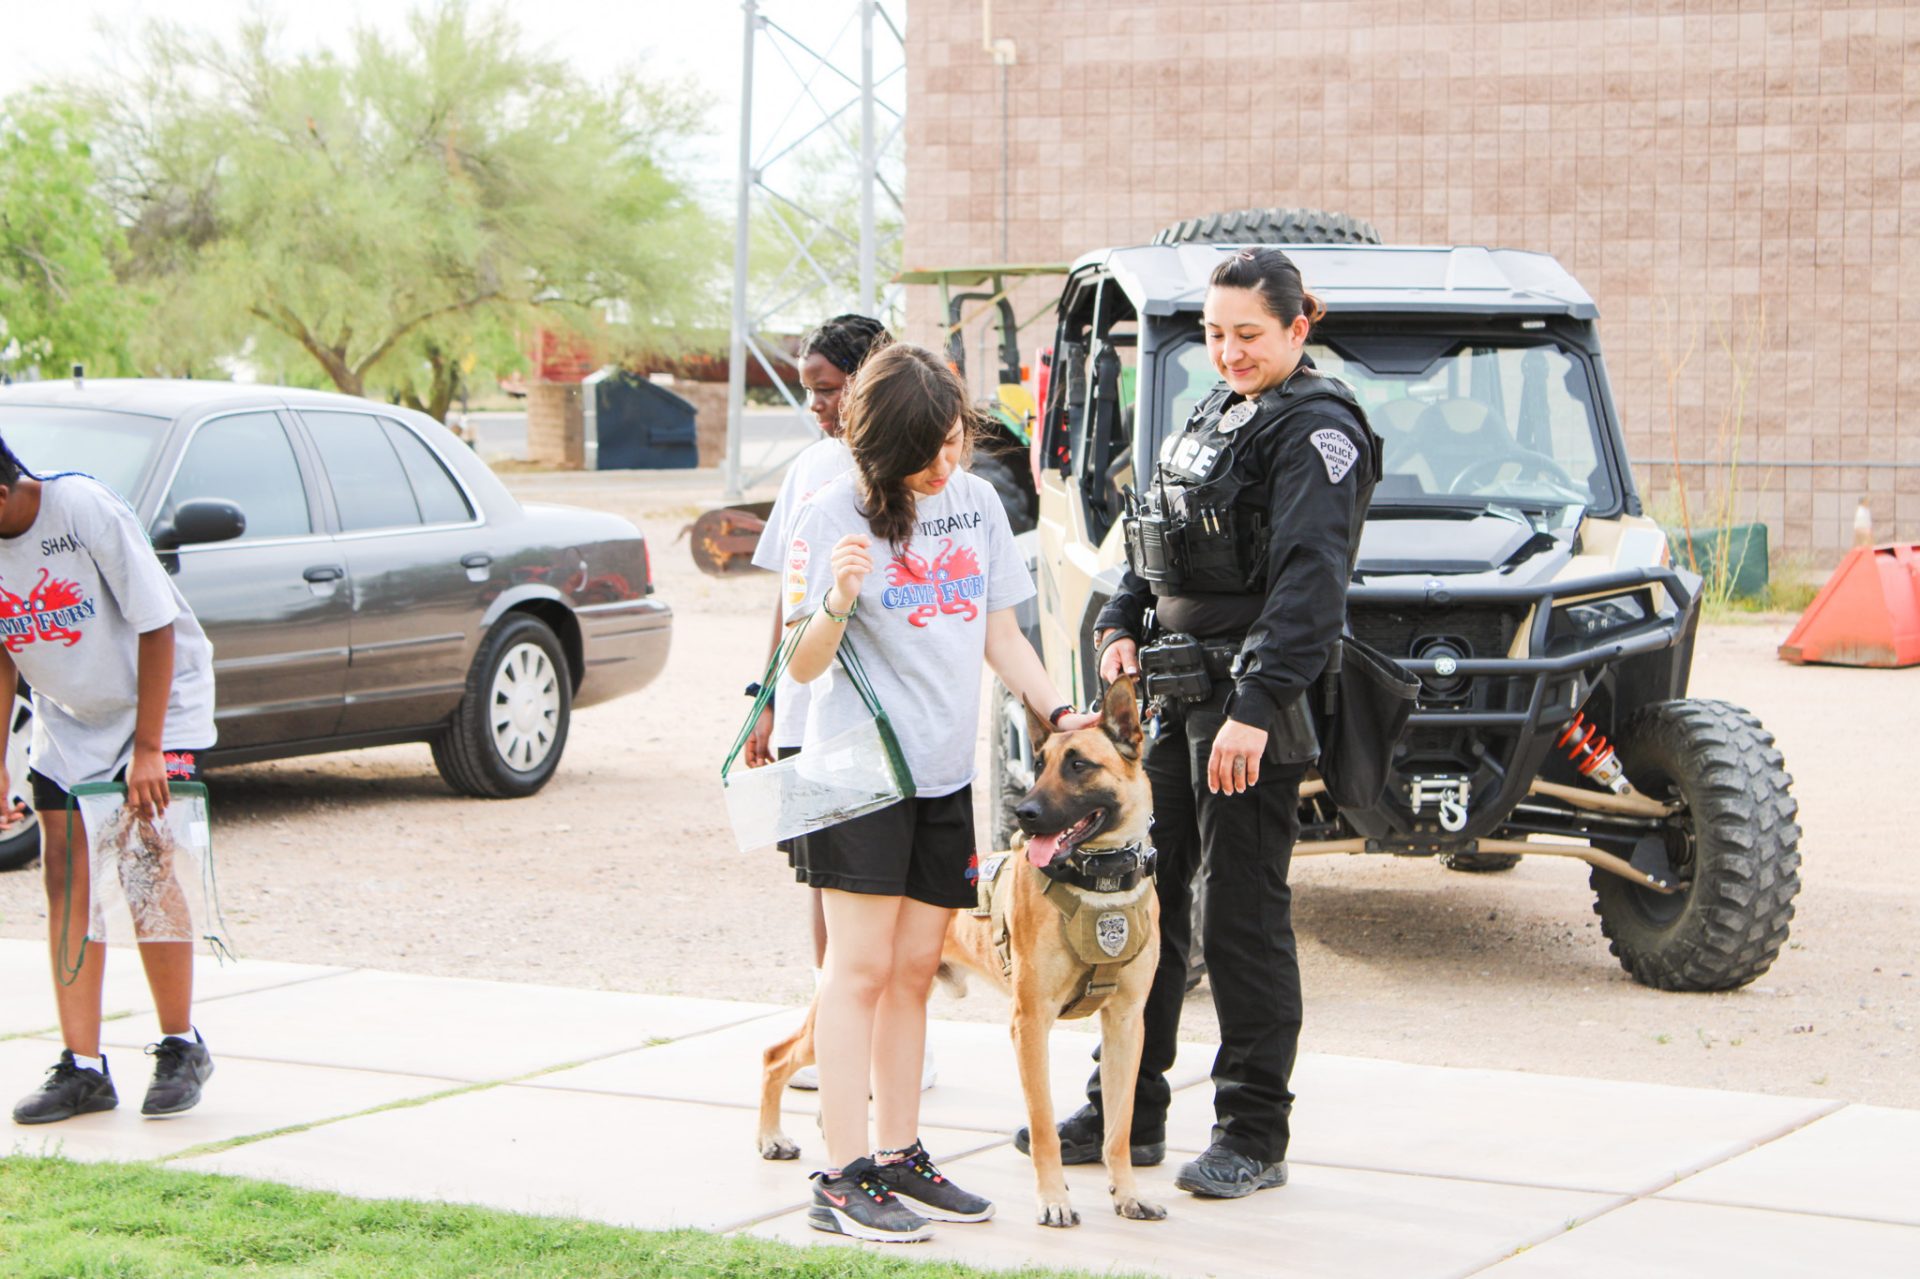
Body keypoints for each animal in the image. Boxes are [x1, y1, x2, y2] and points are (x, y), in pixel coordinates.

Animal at [756, 675, 1159, 1229]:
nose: (1024, 814)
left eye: (1079, 765)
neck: (1099, 880)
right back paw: (772, 1138)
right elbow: (1043, 1127)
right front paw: (1054, 1199)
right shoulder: (1031, 1023)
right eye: (1038, 764)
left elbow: (1119, 1127)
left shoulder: (1126, 1024)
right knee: (775, 1055)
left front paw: (1127, 1194)